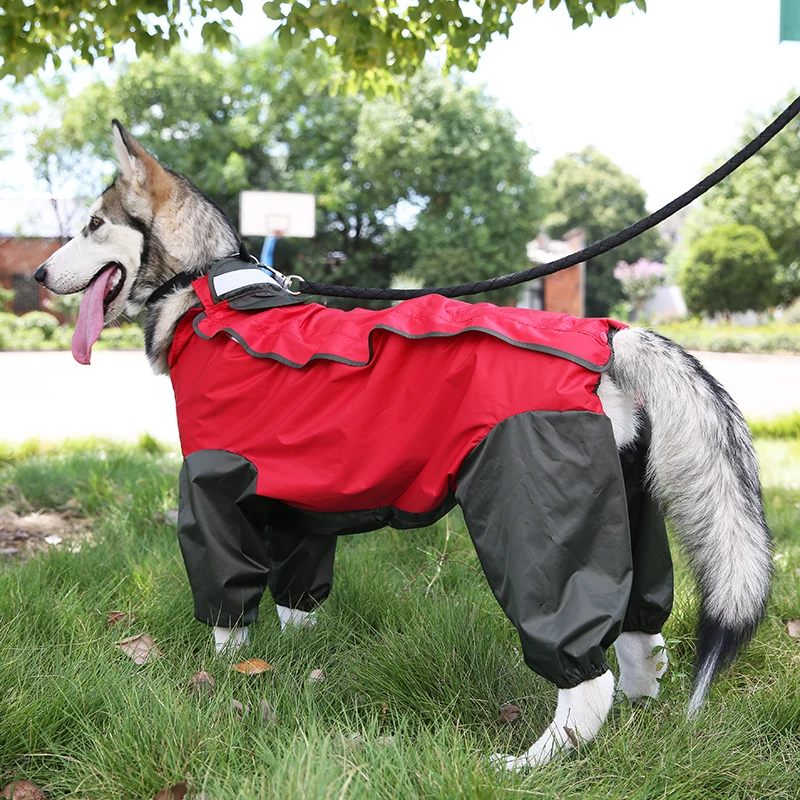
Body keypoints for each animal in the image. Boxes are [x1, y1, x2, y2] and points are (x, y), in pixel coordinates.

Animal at [34, 123, 772, 768]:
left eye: (93, 225)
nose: (37, 275)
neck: (212, 294)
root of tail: (601, 336)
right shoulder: (297, 505)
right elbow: (296, 604)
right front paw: (293, 668)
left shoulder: (213, 490)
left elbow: (227, 614)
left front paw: (219, 681)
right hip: (627, 508)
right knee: (642, 636)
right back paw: (641, 711)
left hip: (536, 525)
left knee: (586, 678)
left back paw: (534, 761)